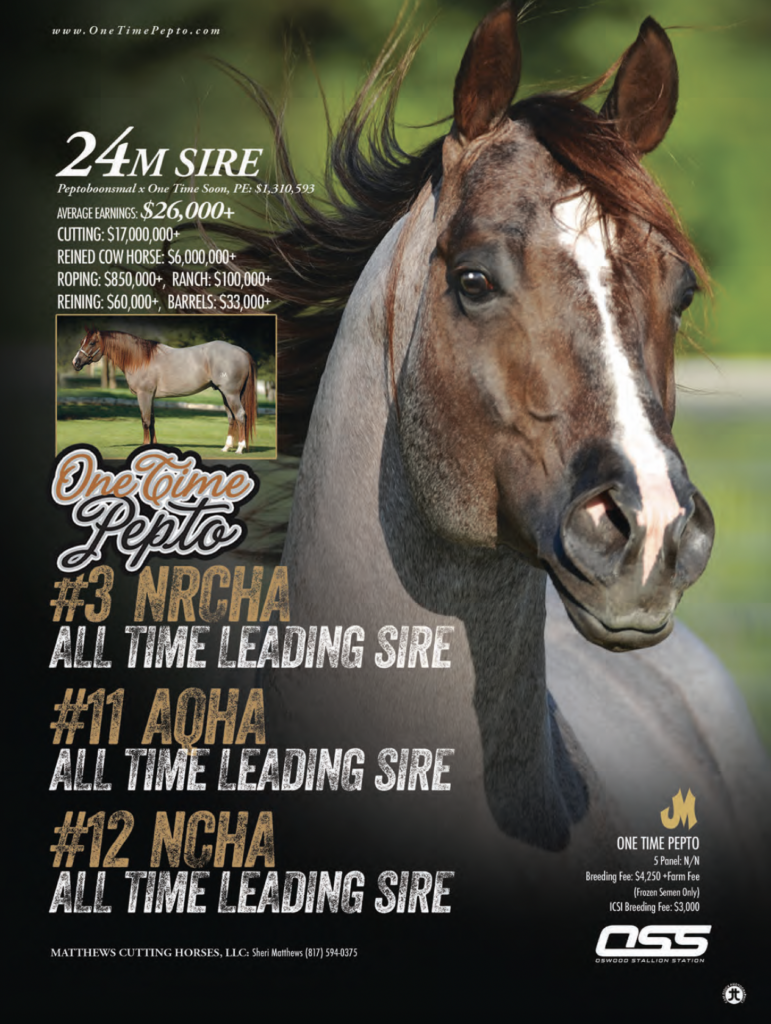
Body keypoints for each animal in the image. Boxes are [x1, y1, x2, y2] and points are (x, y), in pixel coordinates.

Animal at [71, 329, 258, 452]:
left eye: (92, 343)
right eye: (81, 342)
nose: (75, 362)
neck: (140, 359)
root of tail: (242, 352)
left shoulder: (144, 395)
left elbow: (145, 421)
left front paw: (144, 446)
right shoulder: (151, 397)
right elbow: (152, 421)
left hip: (231, 394)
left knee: (240, 415)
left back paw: (240, 448)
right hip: (225, 394)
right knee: (231, 418)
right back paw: (226, 447)